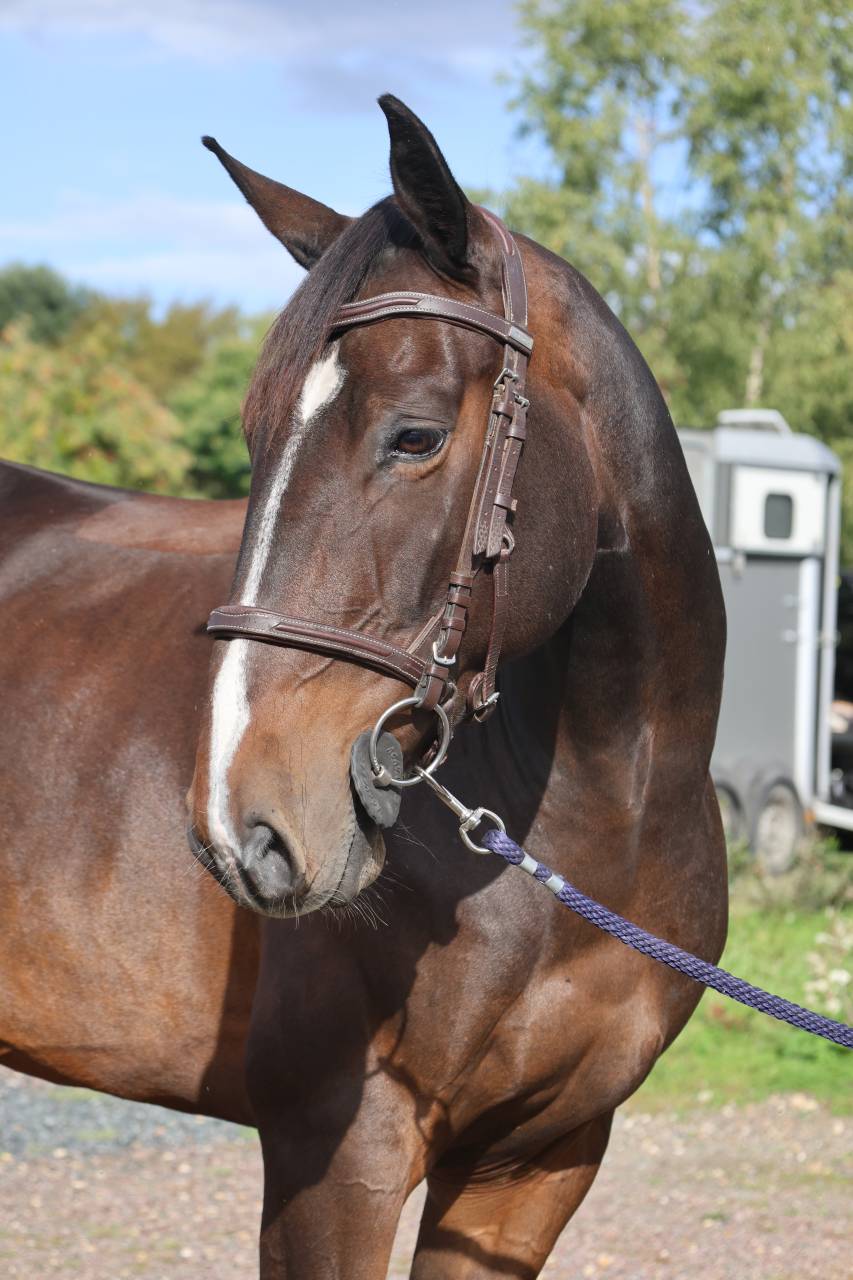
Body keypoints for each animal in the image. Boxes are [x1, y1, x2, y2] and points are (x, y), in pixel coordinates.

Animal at [0, 95, 728, 1278]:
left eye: (415, 434)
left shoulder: (541, 1160)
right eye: (252, 439)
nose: (240, 826)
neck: (602, 819)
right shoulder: (335, 1150)